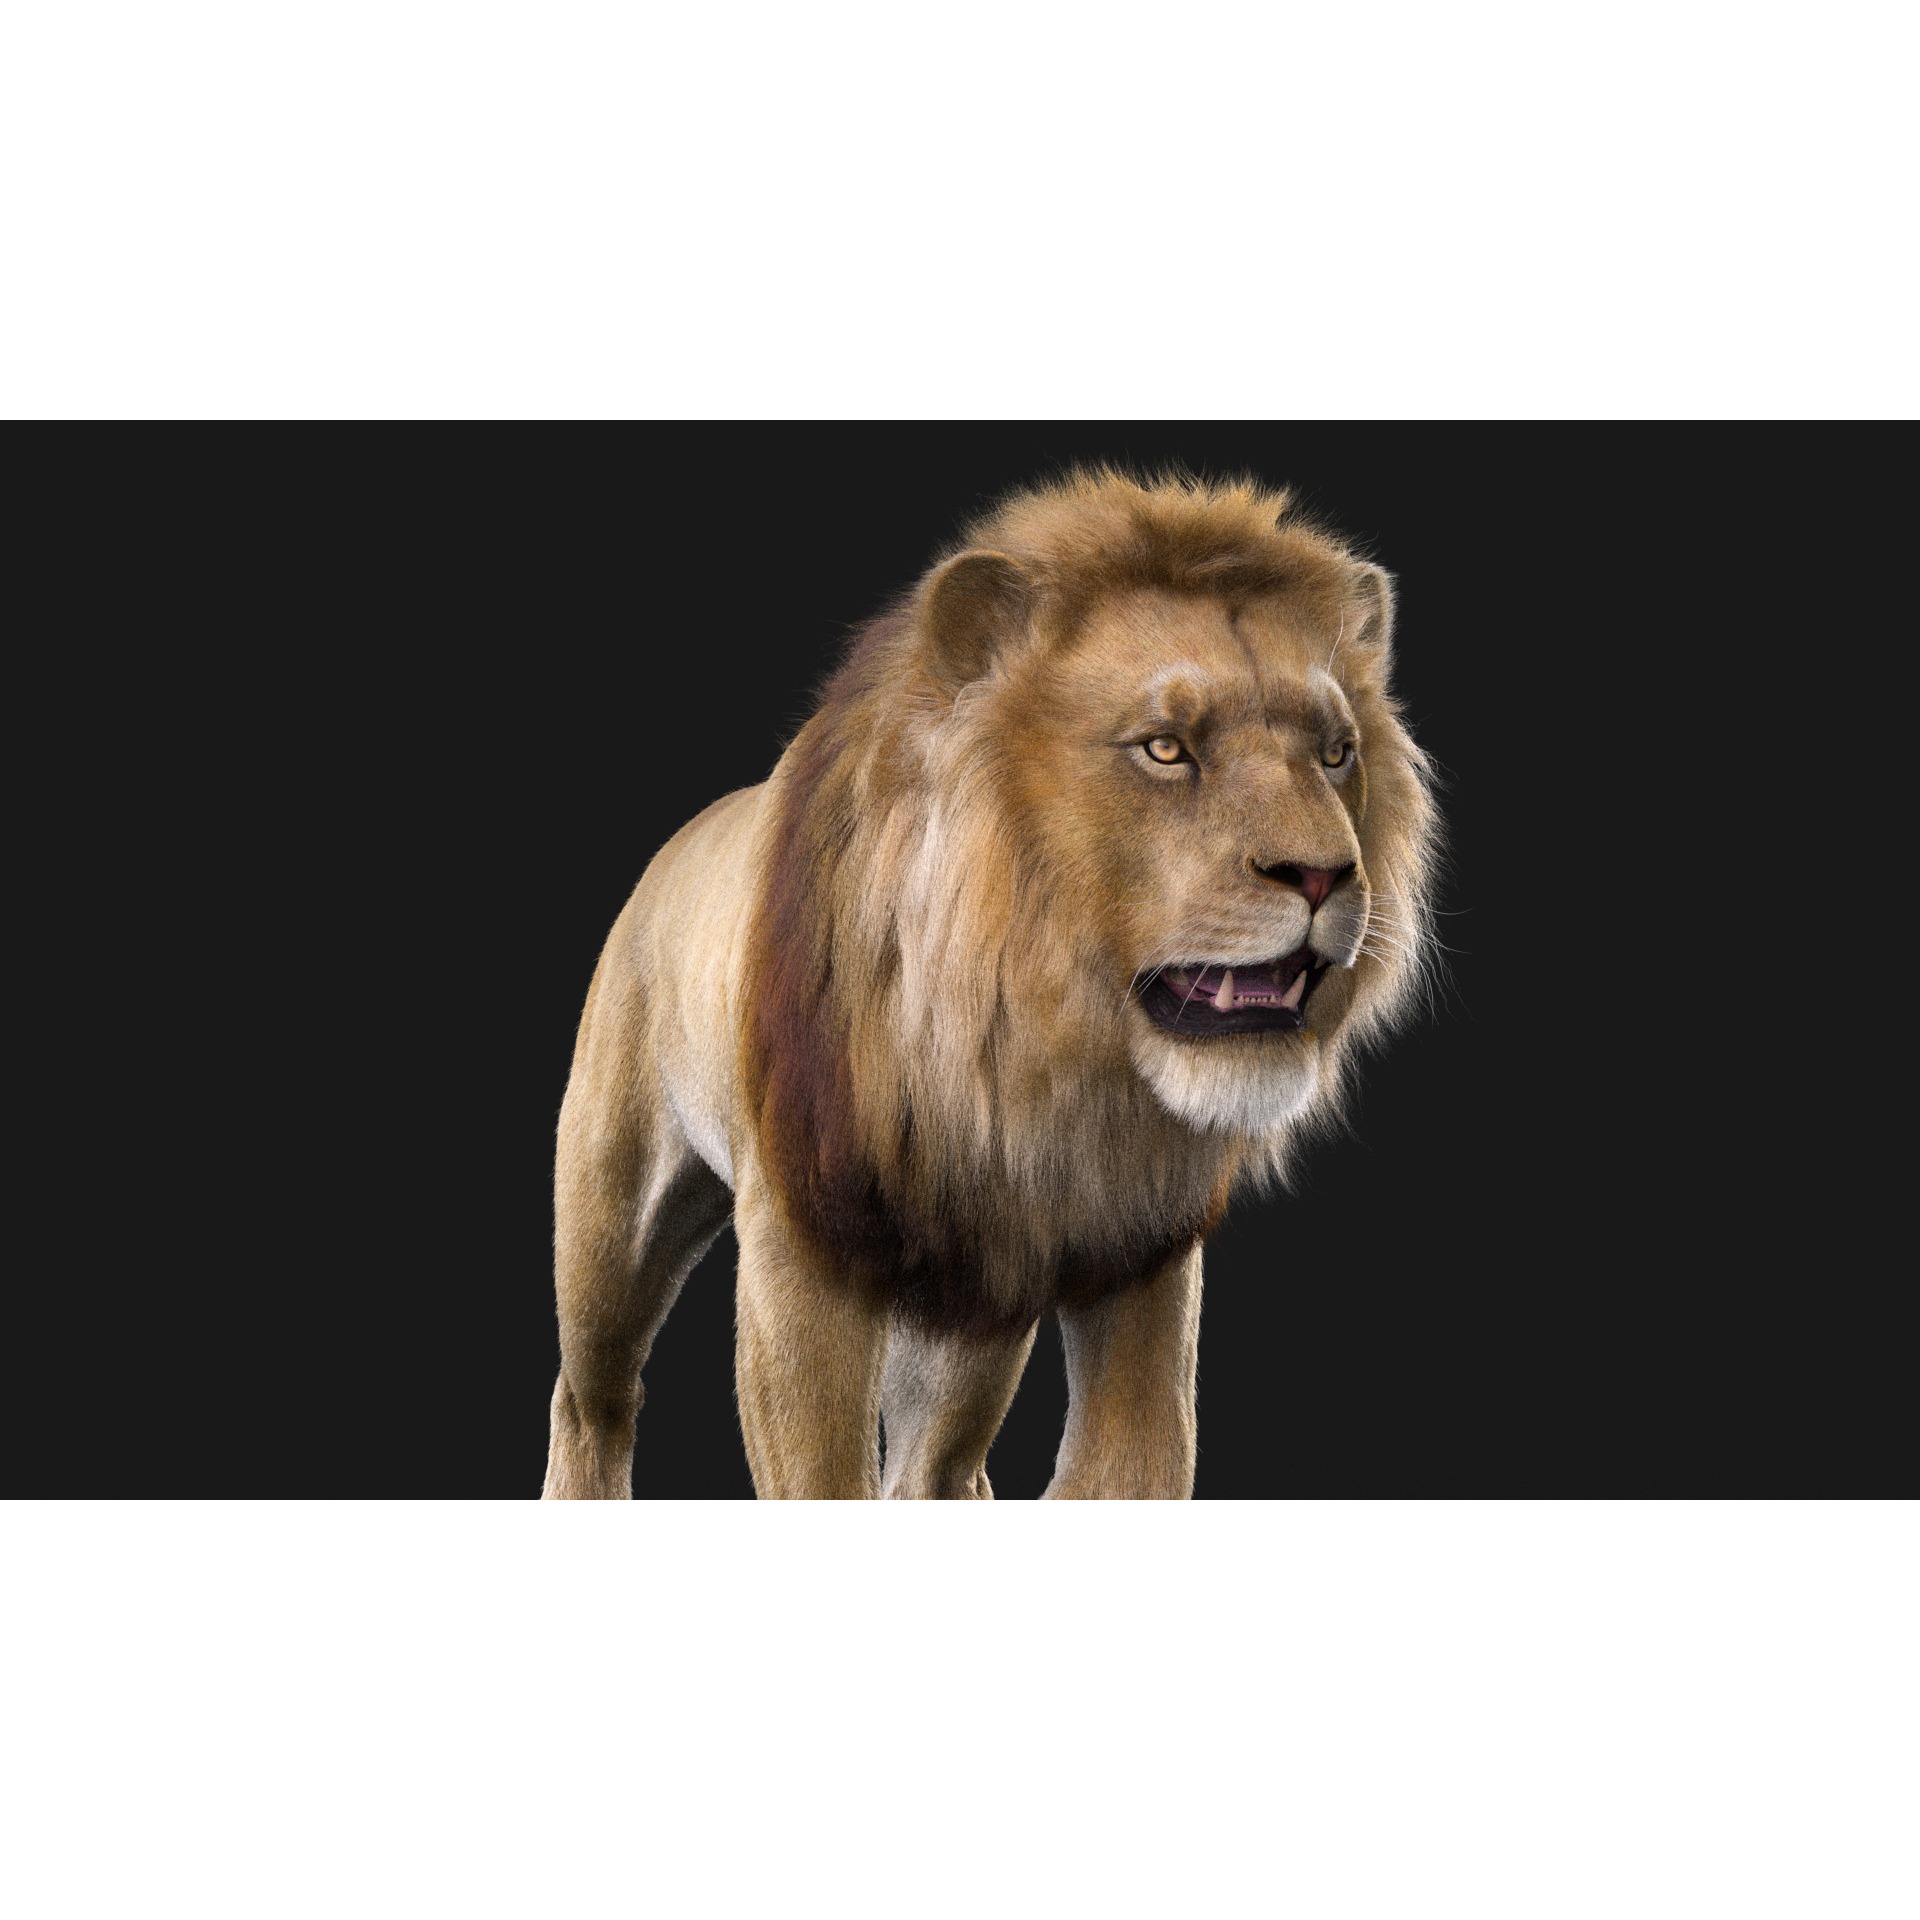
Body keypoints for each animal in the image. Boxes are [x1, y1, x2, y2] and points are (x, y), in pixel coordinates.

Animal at [541, 469, 1439, 1499]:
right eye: (1166, 748)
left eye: (1336, 753)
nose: (1324, 875)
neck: (1028, 1052)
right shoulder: (802, 1251)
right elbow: (819, 1476)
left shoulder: (1140, 1256)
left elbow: (1136, 1465)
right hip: (610, 1231)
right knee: (593, 1398)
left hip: (974, 1313)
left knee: (937, 1468)